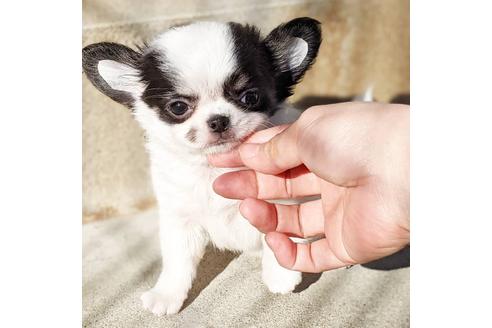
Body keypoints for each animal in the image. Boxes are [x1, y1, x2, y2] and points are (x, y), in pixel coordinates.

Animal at [83, 18, 322, 316]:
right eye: (178, 107)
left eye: (250, 97)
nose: (218, 120)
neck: (213, 169)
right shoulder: (180, 219)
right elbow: (178, 262)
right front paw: (166, 294)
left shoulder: (283, 200)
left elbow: (281, 234)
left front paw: (281, 273)